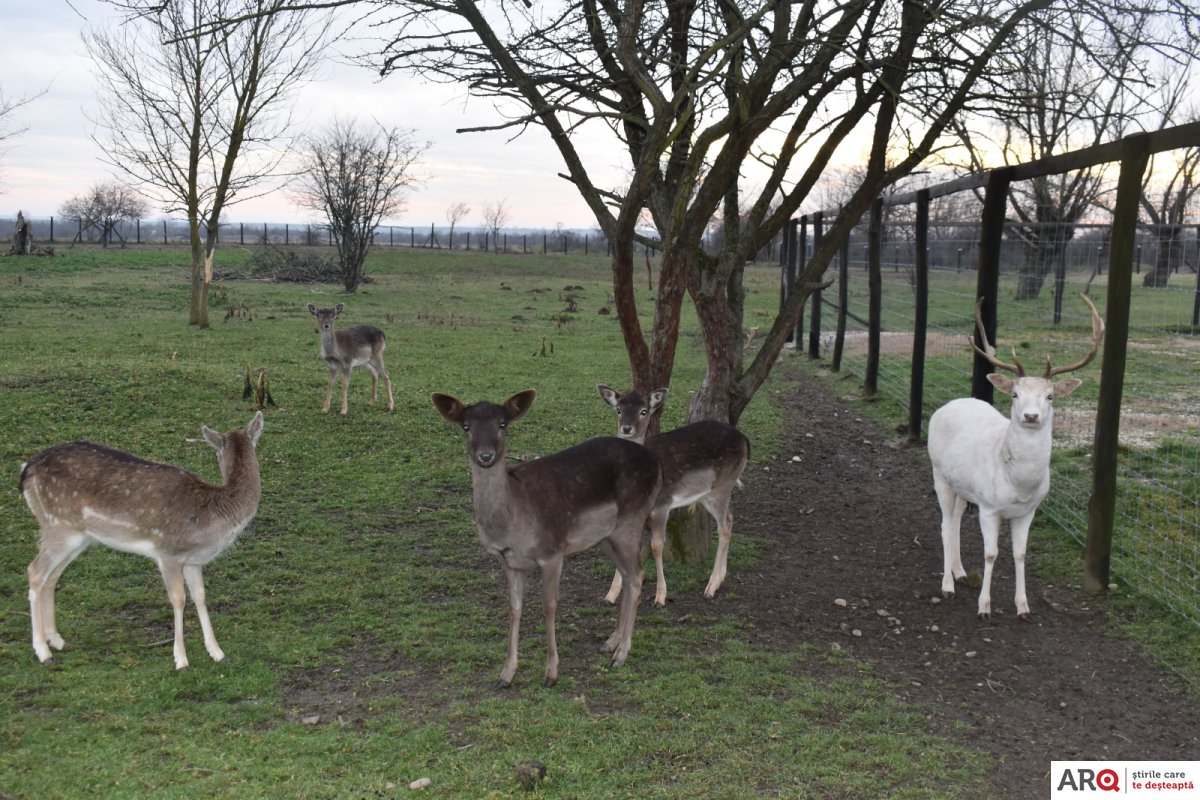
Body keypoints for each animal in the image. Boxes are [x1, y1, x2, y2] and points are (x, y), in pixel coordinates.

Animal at [20, 412, 265, 671]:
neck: (212, 515)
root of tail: (26, 469)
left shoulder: (193, 560)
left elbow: (200, 595)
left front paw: (216, 652)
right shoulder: (167, 552)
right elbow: (179, 599)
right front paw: (180, 659)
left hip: (75, 538)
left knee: (52, 577)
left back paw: (57, 640)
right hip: (57, 526)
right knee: (35, 571)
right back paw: (42, 650)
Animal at [432, 388, 662, 690]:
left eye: (502, 424)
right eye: (466, 426)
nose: (486, 455)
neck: (511, 525)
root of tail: (655, 463)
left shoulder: (553, 551)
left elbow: (549, 607)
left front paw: (551, 673)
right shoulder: (508, 561)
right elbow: (514, 609)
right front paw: (506, 675)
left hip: (631, 520)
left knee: (637, 574)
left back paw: (621, 654)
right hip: (605, 536)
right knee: (627, 573)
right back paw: (611, 643)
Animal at [592, 388, 744, 606]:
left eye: (644, 411)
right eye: (618, 410)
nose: (626, 428)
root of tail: (746, 441)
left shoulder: (662, 504)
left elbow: (657, 546)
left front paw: (660, 597)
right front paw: (610, 595)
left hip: (722, 485)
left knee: (724, 527)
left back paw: (711, 587)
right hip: (708, 494)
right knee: (730, 519)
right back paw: (721, 577)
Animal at [926, 293, 1104, 618]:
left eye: (1050, 396)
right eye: (1015, 394)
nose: (1031, 415)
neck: (1018, 485)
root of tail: (949, 404)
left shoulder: (1028, 510)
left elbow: (1019, 554)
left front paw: (1023, 606)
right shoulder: (988, 506)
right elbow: (991, 553)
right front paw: (984, 606)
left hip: (962, 486)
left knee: (955, 519)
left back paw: (959, 572)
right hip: (938, 473)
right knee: (945, 523)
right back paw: (947, 585)